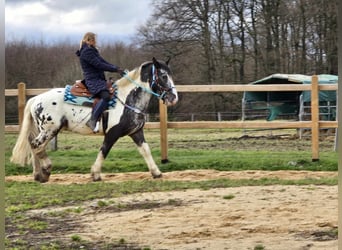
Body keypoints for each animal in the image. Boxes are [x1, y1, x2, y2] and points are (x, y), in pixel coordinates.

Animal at [10, 57, 179, 183]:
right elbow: (104, 150)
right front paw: (95, 174)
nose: (173, 98)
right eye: (164, 76)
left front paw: (156, 172)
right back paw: (46, 170)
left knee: (33, 145)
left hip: (45, 130)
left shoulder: (136, 132)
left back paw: (38, 175)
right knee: (36, 146)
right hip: (49, 130)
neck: (126, 98)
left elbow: (145, 150)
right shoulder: (112, 133)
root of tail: (36, 99)